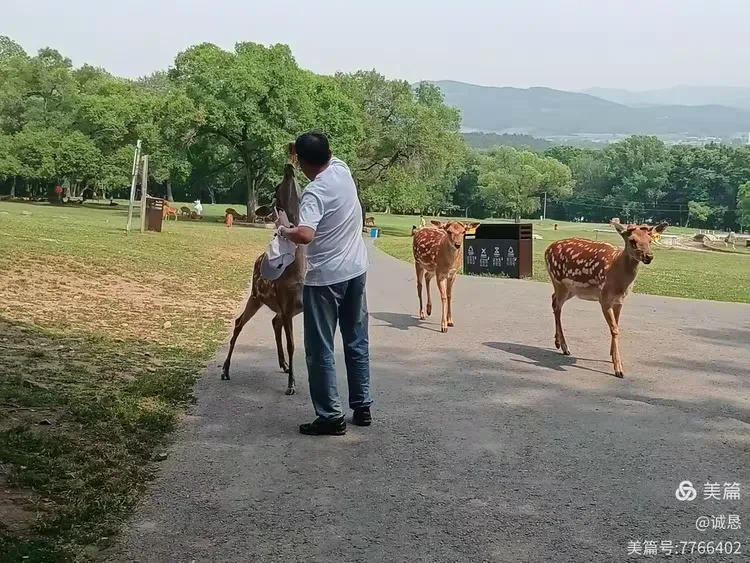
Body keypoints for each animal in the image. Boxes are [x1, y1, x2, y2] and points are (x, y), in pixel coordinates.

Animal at [221, 147, 305, 395]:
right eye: (277, 187)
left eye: (300, 185)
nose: (289, 166)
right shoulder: (287, 305)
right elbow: (292, 344)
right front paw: (291, 386)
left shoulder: (296, 306)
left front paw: (293, 378)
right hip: (255, 295)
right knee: (239, 322)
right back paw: (226, 370)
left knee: (273, 322)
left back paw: (284, 365)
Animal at [544, 219, 668, 378]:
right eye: (632, 240)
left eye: (650, 240)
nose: (649, 256)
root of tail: (547, 249)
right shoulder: (604, 298)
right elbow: (614, 329)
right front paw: (618, 368)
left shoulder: (620, 300)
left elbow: (616, 325)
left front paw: (612, 356)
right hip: (559, 281)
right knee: (557, 307)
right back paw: (565, 347)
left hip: (570, 289)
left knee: (553, 300)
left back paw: (558, 343)